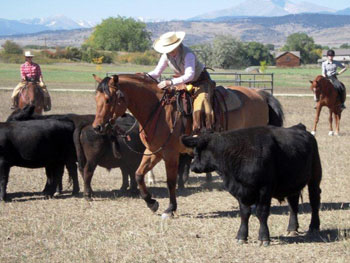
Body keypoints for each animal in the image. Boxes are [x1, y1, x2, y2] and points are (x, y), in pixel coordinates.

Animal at [91, 73, 284, 219]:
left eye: (108, 99)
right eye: (96, 98)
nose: (97, 127)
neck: (159, 111)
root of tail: (261, 94)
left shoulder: (170, 154)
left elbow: (171, 182)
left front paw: (170, 209)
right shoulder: (153, 151)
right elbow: (139, 175)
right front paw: (151, 202)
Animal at [183, 125, 322, 246]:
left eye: (196, 152)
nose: (192, 166)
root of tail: (299, 128)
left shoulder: (264, 190)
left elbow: (261, 212)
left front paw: (264, 238)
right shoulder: (241, 192)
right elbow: (244, 213)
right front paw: (241, 236)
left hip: (315, 177)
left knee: (314, 201)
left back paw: (314, 226)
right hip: (292, 183)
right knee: (293, 204)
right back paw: (292, 228)